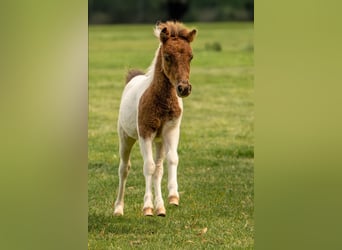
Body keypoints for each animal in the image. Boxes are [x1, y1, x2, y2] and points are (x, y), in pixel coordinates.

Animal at [113, 22, 196, 217]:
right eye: (167, 56)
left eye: (191, 57)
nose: (184, 88)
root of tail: (133, 78)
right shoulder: (145, 133)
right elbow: (148, 167)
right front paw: (147, 207)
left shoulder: (171, 130)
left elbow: (172, 159)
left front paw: (173, 197)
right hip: (125, 137)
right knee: (124, 169)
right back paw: (119, 208)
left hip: (159, 142)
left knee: (159, 170)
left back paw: (161, 207)